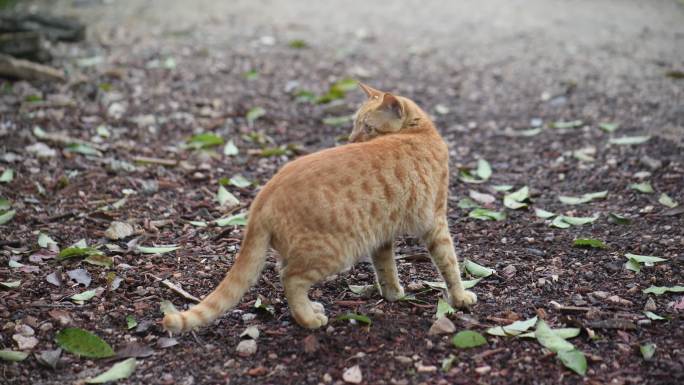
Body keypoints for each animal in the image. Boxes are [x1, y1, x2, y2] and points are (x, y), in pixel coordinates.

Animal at [164, 84, 478, 332]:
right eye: (357, 125)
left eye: (366, 127)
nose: (351, 140)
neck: (421, 132)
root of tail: (263, 195)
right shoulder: (436, 222)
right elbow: (449, 264)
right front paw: (461, 298)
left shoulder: (383, 235)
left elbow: (386, 267)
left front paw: (393, 294)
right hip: (334, 252)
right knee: (289, 278)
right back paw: (309, 319)